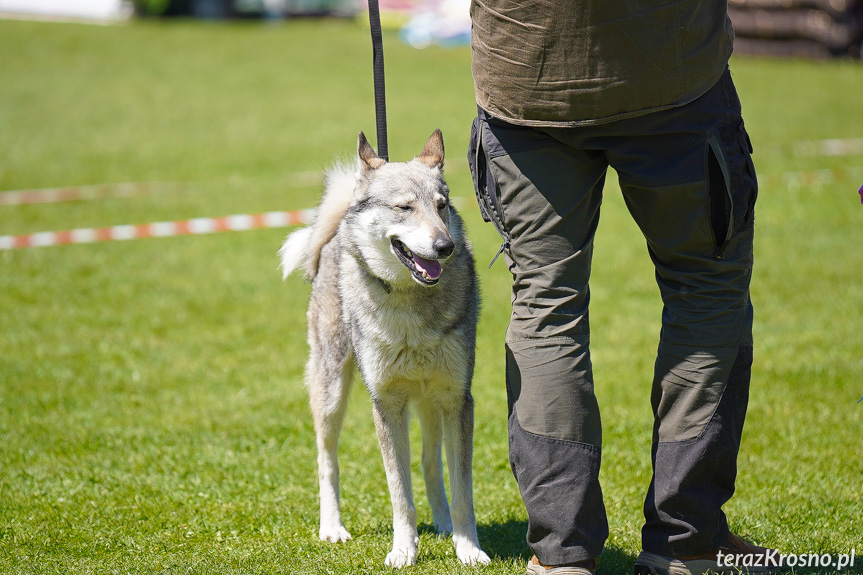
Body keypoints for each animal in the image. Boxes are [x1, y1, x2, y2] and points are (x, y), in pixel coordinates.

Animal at [280, 129, 490, 568]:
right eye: (404, 208)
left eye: (441, 206)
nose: (445, 246)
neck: (410, 306)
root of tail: (337, 230)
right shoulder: (387, 404)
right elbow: (400, 495)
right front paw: (403, 551)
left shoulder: (456, 398)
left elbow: (461, 489)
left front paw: (468, 548)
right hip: (331, 394)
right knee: (326, 461)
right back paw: (332, 528)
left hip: (429, 403)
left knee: (430, 462)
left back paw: (443, 523)